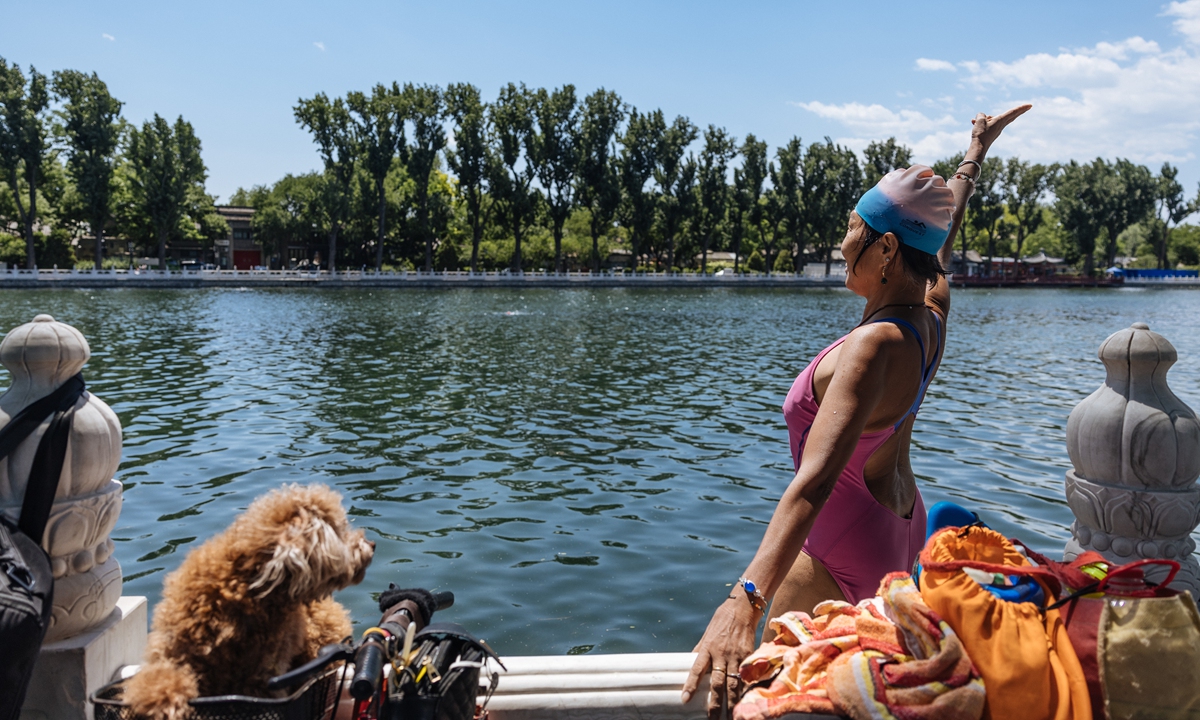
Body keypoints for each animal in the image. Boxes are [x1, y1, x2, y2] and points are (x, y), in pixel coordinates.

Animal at [123, 484, 374, 720]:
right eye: (341, 530)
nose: (371, 545)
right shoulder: (172, 653)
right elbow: (159, 683)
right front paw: (160, 706)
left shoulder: (263, 679)